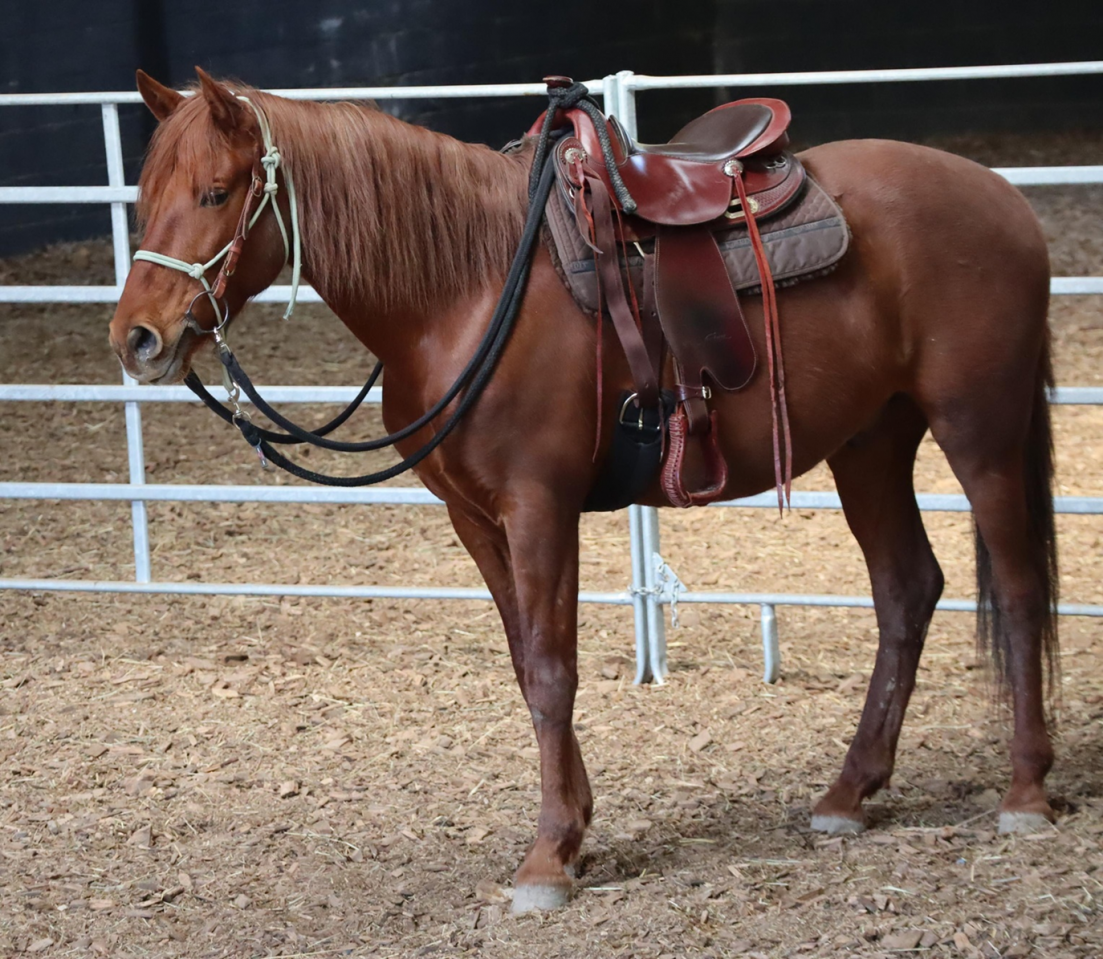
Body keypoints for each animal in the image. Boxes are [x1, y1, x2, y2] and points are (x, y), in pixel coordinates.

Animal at [110, 68, 1059, 912]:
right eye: (147, 194)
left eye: (217, 190)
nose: (137, 338)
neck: (465, 288)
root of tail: (1003, 198)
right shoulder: (473, 516)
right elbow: (524, 664)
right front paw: (571, 830)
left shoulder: (539, 505)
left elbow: (552, 668)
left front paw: (546, 859)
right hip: (870, 443)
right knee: (906, 589)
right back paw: (847, 793)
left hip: (978, 429)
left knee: (1016, 587)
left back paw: (1024, 793)